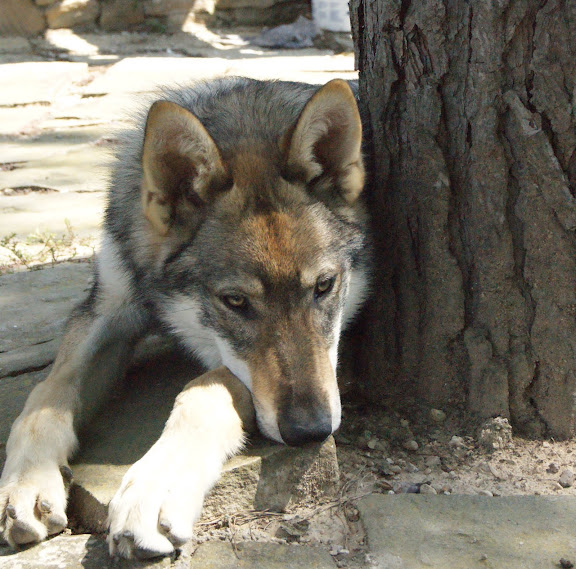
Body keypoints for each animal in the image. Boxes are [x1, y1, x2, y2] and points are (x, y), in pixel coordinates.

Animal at [0, 76, 368, 560]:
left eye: (324, 286)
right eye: (235, 301)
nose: (311, 431)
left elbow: (203, 389)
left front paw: (156, 489)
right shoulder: (105, 311)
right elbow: (48, 392)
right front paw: (25, 480)